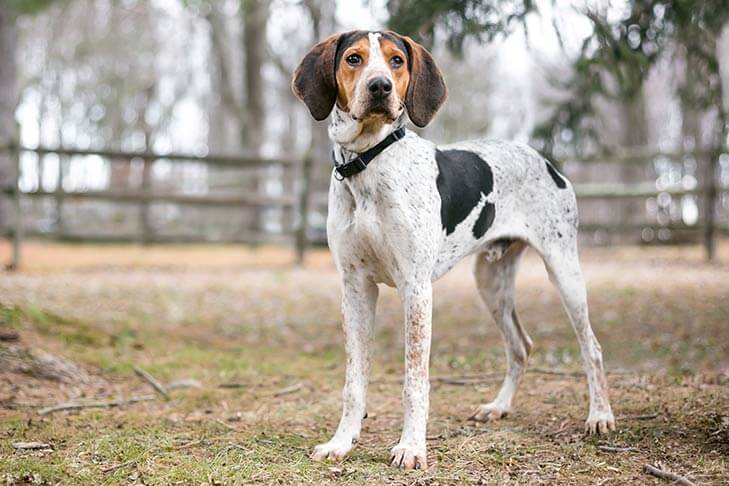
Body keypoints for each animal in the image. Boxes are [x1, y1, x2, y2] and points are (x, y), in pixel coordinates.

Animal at [290, 28, 616, 468]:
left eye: (396, 60)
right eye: (353, 59)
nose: (380, 87)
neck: (369, 162)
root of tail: (545, 160)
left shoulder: (415, 288)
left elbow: (415, 381)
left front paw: (411, 448)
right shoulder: (355, 288)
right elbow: (353, 381)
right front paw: (341, 442)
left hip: (564, 271)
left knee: (591, 347)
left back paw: (599, 415)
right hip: (491, 283)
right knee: (521, 346)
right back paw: (499, 406)